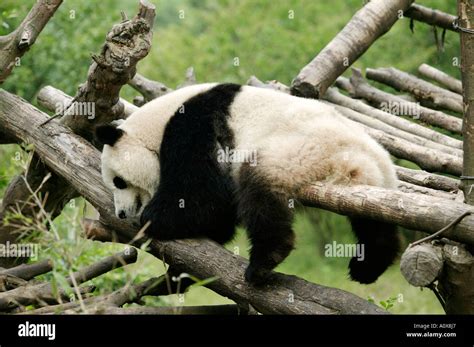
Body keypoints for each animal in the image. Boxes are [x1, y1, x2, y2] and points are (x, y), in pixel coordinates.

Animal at [96, 83, 400, 286]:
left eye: (118, 181)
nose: (121, 213)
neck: (156, 125)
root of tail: (370, 159)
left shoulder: (193, 127)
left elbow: (203, 199)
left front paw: (155, 219)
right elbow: (217, 214)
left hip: (302, 151)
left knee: (260, 190)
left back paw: (264, 261)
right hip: (365, 180)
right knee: (370, 220)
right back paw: (368, 266)